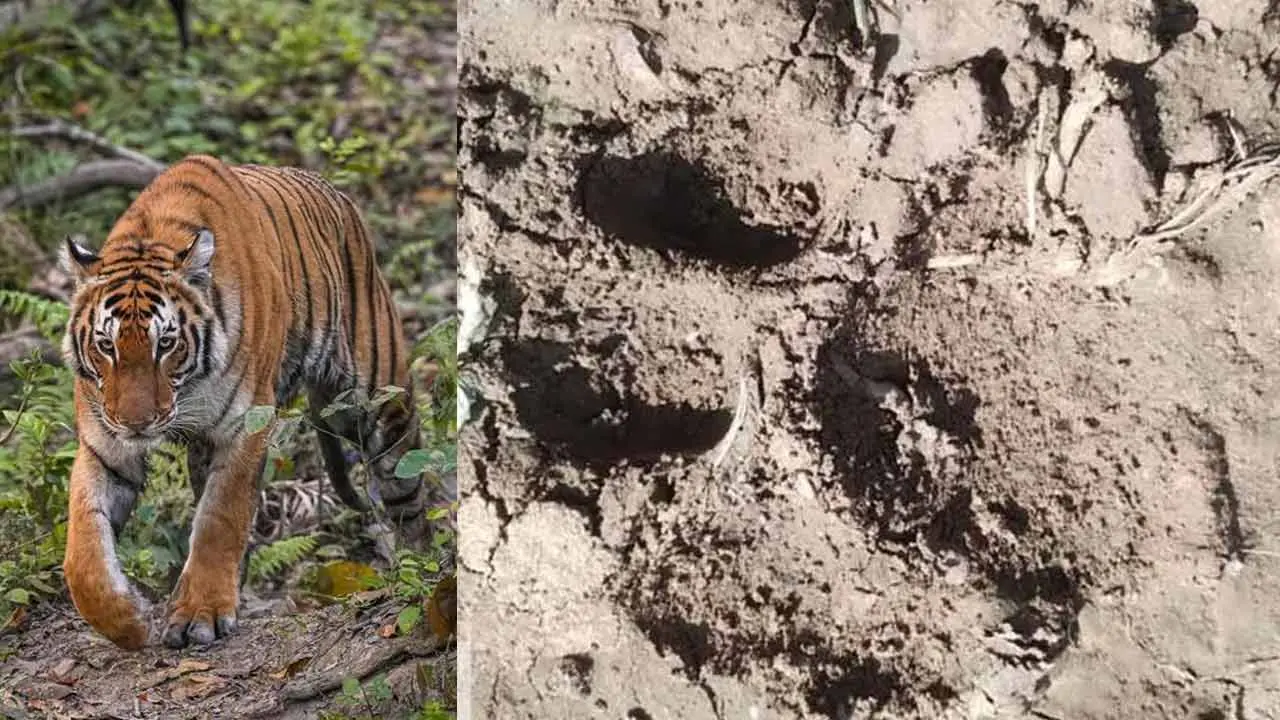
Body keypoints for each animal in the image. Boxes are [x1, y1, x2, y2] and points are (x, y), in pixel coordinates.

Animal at [59, 155, 425, 650]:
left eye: (165, 343)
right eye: (106, 345)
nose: (137, 423)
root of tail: (337, 194)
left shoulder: (244, 426)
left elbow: (220, 519)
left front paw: (201, 613)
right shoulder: (105, 446)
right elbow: (83, 548)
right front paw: (128, 623)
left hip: (374, 399)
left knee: (409, 488)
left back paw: (422, 567)